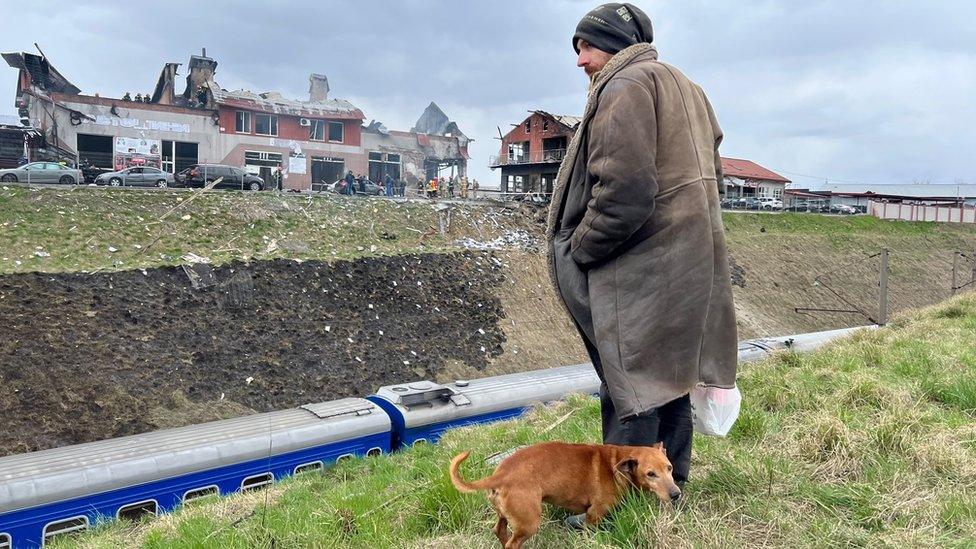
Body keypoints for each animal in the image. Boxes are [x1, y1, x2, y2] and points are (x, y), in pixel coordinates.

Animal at [450, 440, 680, 548]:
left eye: (669, 468)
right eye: (650, 474)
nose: (676, 494)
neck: (616, 463)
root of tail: (501, 473)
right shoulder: (594, 515)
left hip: (505, 516)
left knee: (500, 531)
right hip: (530, 522)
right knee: (511, 543)